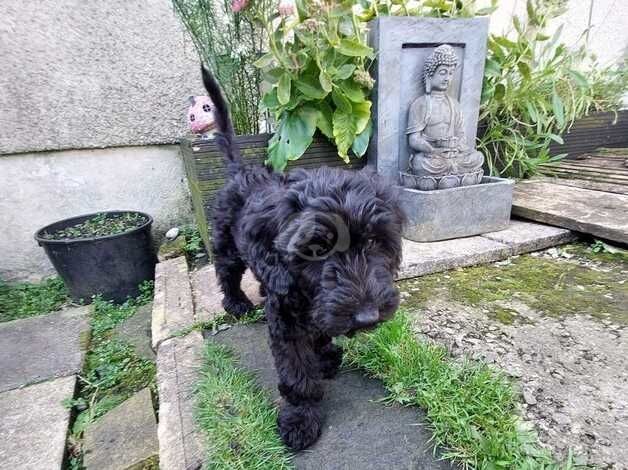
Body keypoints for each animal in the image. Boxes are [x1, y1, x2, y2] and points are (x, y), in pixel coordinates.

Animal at [204, 65, 404, 448]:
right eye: (315, 250)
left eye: (374, 242)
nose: (368, 317)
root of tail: (241, 171)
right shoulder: (286, 323)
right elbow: (297, 375)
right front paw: (300, 419)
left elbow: (322, 329)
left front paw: (325, 355)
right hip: (226, 245)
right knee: (226, 273)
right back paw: (237, 303)